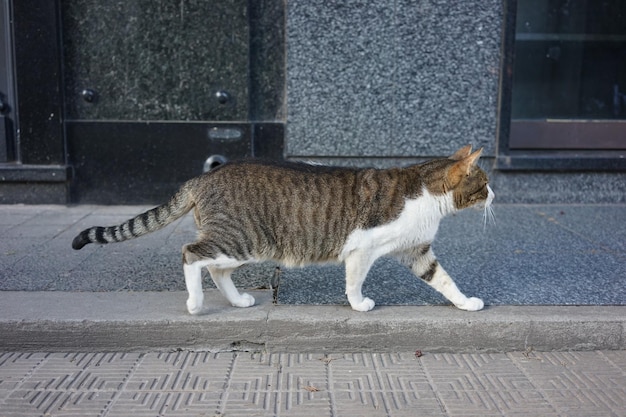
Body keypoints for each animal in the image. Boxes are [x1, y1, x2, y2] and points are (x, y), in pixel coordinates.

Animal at [72, 145, 492, 314]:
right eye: (485, 183)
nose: (495, 195)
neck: (427, 195)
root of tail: (203, 177)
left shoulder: (416, 250)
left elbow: (443, 279)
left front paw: (465, 303)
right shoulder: (362, 250)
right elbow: (354, 282)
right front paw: (359, 304)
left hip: (245, 245)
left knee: (216, 269)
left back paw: (237, 301)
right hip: (241, 240)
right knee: (192, 255)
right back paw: (195, 303)